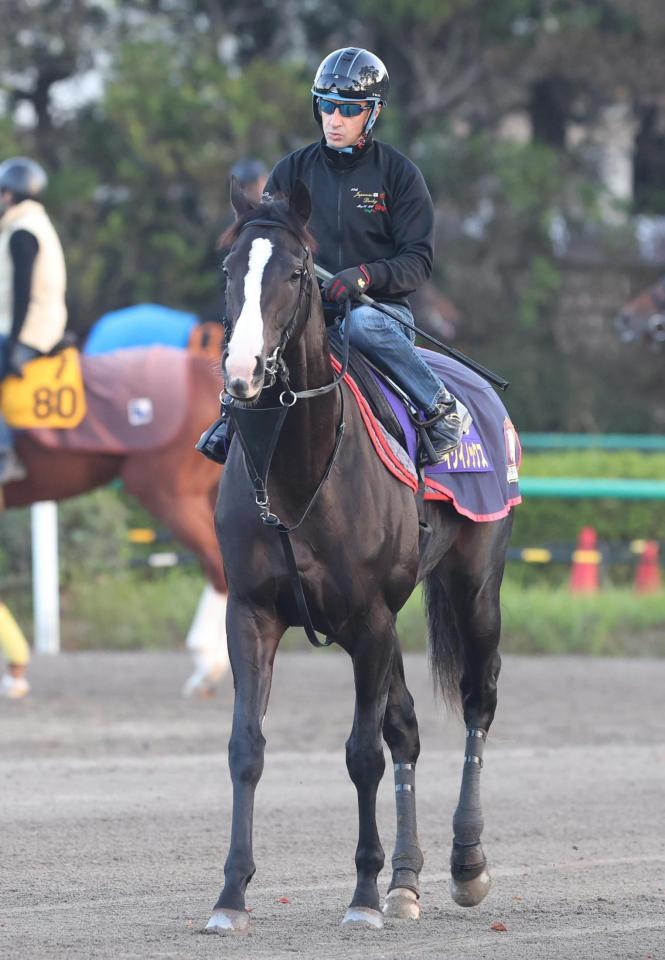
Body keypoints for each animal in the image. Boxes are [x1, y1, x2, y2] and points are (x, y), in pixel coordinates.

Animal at [206, 179, 515, 934]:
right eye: (229, 269)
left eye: (296, 271)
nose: (242, 372)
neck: (294, 467)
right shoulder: (251, 614)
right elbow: (246, 748)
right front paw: (231, 897)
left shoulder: (370, 619)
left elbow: (362, 755)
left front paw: (364, 896)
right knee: (406, 728)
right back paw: (408, 881)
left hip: (474, 584)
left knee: (477, 700)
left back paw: (466, 863)